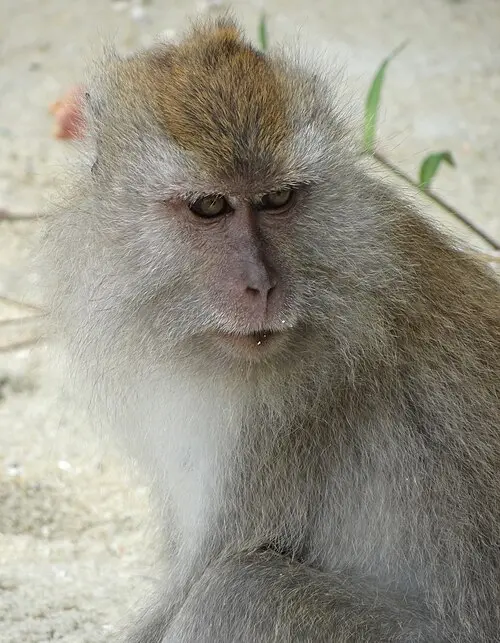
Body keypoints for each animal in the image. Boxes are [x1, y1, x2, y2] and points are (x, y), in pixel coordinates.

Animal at [43, 17, 500, 643]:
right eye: (209, 207)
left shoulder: (288, 422)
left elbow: (202, 581)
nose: (261, 287)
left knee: (239, 589)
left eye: (278, 198)